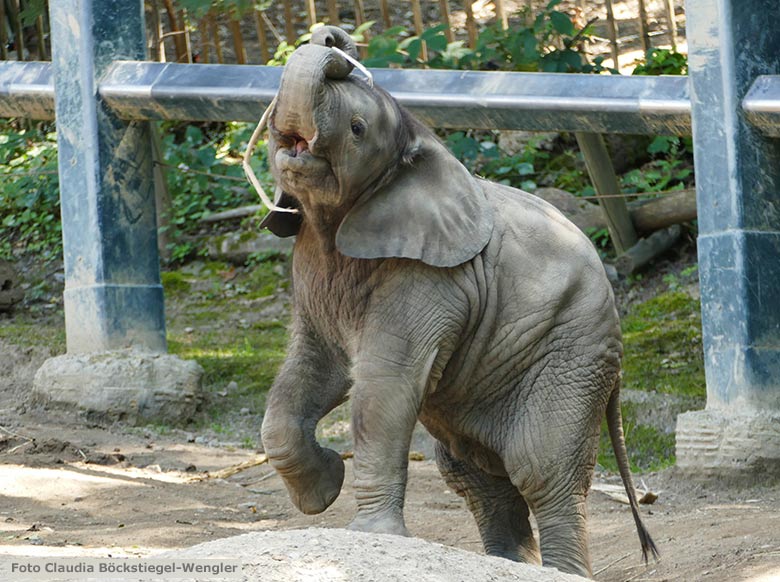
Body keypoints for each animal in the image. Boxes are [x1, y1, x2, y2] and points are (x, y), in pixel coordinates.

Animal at [258, 24, 660, 580]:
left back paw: (559, 571)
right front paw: (324, 490)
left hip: (575, 354)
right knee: (474, 475)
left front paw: (370, 535)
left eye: (357, 129)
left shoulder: (430, 278)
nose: (335, 39)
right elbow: (313, 372)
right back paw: (506, 563)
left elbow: (384, 384)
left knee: (540, 468)